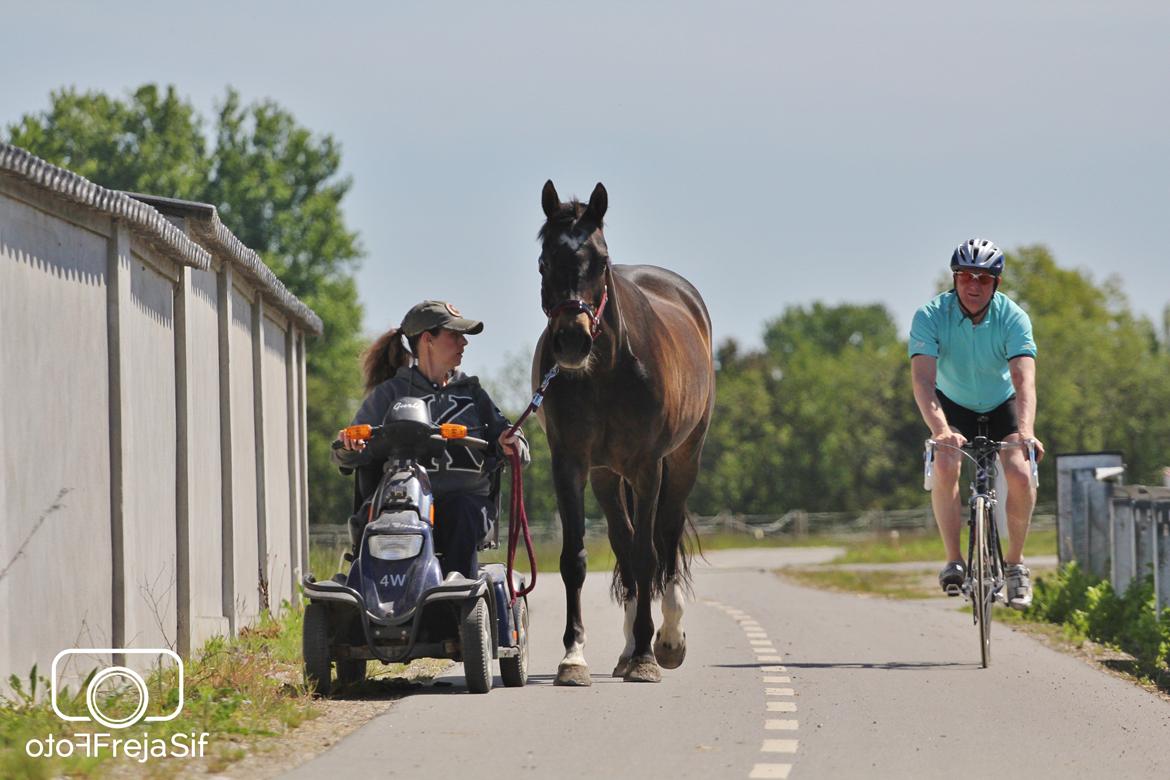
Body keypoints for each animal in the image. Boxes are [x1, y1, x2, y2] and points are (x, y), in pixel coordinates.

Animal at [531, 178, 711, 682]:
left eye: (600, 260)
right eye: (544, 261)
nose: (572, 341)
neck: (606, 370)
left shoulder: (648, 466)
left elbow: (650, 554)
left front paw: (650, 657)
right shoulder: (571, 465)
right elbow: (576, 558)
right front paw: (574, 656)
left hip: (683, 460)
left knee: (664, 538)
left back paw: (665, 640)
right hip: (607, 477)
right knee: (625, 542)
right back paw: (631, 646)